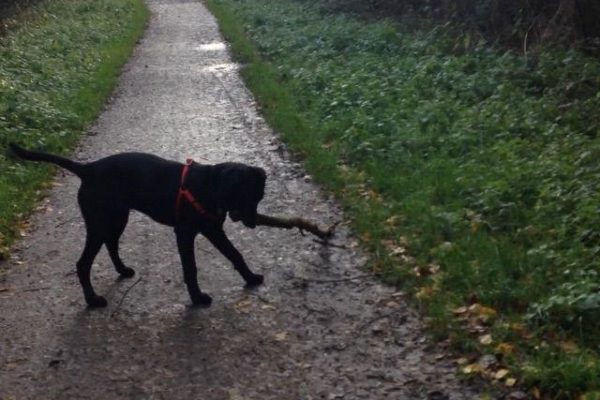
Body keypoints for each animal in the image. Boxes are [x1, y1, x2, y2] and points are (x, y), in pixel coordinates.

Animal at [9, 145, 264, 310]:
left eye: (259, 197)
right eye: (244, 195)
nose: (253, 223)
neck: (210, 186)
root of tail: (88, 169)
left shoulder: (213, 230)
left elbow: (235, 254)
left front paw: (250, 277)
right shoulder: (185, 234)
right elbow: (190, 268)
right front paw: (198, 298)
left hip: (117, 218)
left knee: (111, 245)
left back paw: (122, 271)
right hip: (98, 224)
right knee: (83, 263)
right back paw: (93, 300)